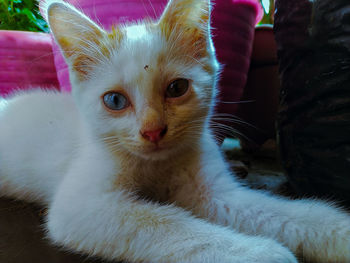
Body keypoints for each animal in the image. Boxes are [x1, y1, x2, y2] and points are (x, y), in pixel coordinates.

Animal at [0, 0, 350, 262]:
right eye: (115, 100)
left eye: (177, 88)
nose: (153, 131)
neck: (157, 165)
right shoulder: (82, 208)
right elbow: (165, 223)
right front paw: (260, 253)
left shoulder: (215, 195)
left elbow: (277, 212)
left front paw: (340, 231)